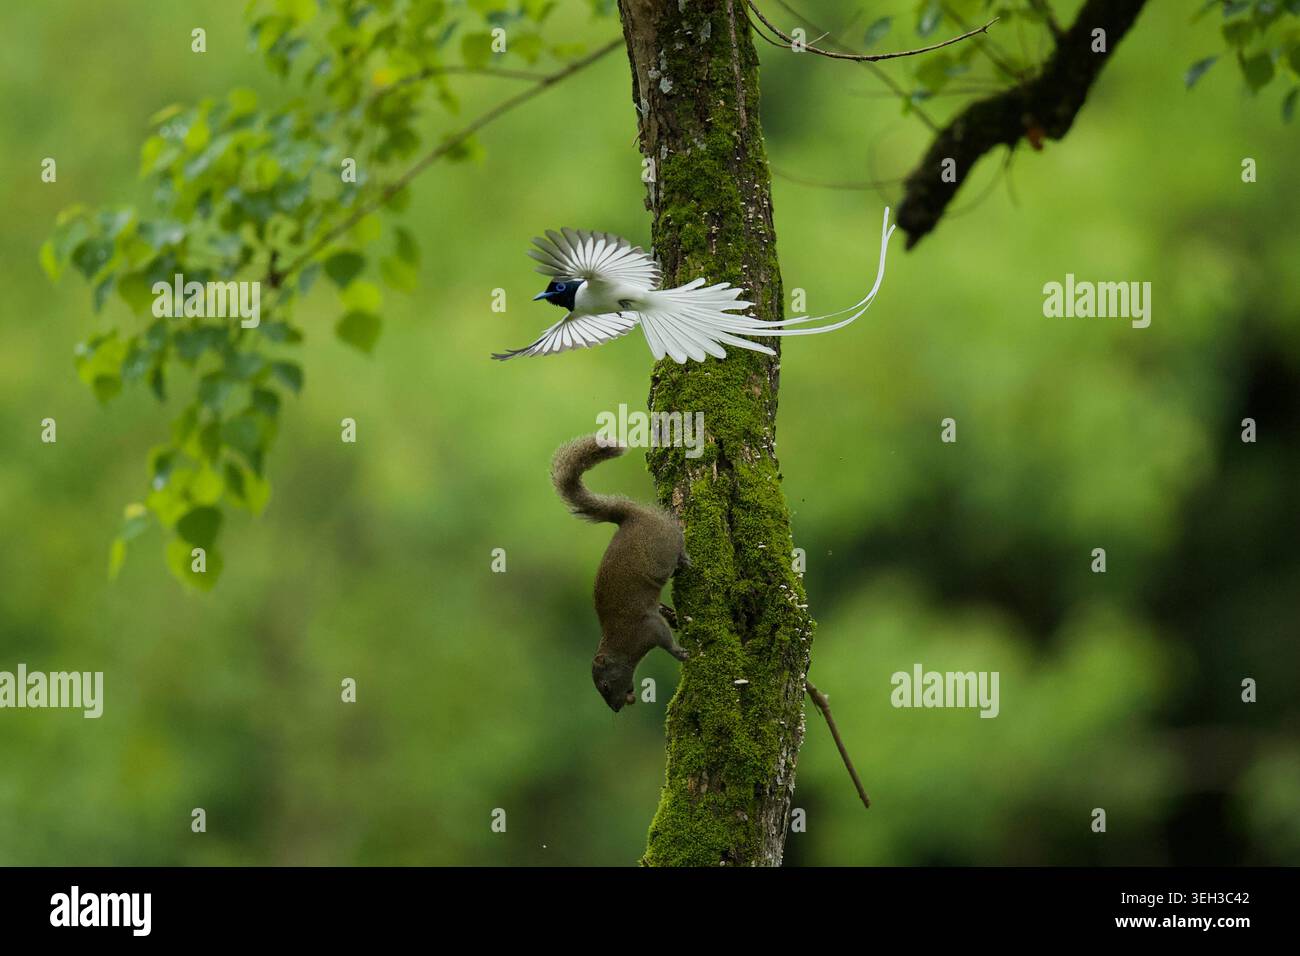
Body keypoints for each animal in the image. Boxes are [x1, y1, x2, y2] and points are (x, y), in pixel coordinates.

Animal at [551, 435, 690, 711]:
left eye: (605, 686)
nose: (616, 707)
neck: (619, 645)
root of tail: (629, 517)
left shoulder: (646, 629)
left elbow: (665, 639)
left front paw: (680, 653)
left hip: (661, 548)